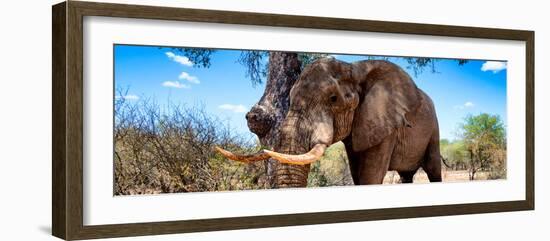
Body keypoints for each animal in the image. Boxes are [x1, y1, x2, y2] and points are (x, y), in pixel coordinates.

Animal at [217, 58, 444, 188]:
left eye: (333, 99)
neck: (354, 67)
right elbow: (357, 176)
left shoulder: (384, 125)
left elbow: (370, 177)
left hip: (434, 128)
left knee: (433, 169)